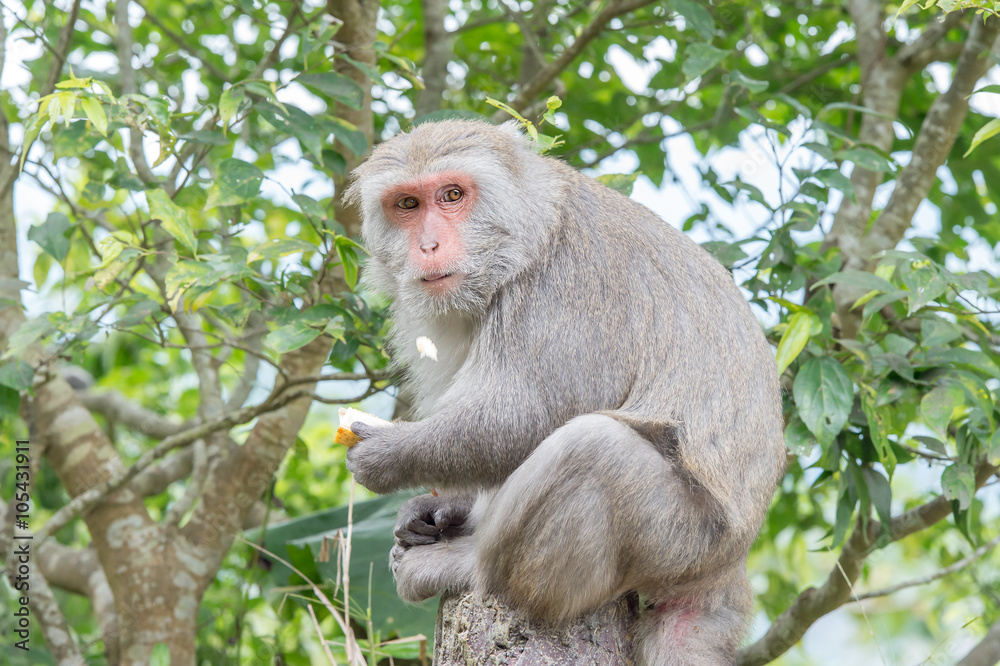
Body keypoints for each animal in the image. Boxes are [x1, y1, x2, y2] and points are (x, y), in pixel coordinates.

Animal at [344, 120, 788, 664]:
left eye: (452, 195)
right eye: (407, 204)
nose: (427, 245)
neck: (523, 242)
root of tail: (731, 566)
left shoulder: (564, 287)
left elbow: (524, 418)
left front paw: (385, 455)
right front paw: (440, 505)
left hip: (682, 541)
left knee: (592, 448)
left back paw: (467, 567)